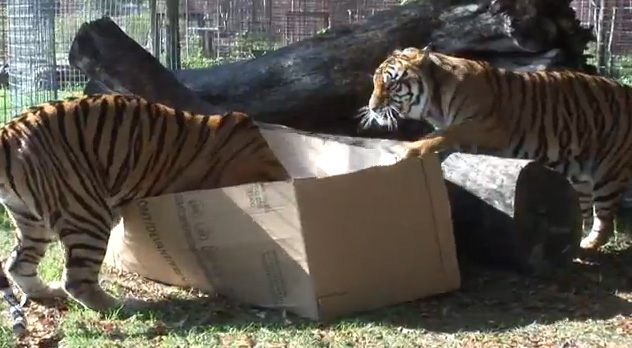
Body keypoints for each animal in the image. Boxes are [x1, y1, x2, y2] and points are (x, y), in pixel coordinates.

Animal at [0, 94, 290, 334]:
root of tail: (10, 130)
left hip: (31, 220)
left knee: (17, 263)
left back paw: (48, 290)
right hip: (87, 213)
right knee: (77, 280)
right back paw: (128, 305)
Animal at [356, 44, 632, 254]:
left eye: (391, 84)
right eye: (375, 83)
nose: (372, 107)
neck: (434, 103)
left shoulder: (485, 126)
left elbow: (444, 134)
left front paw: (410, 151)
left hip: (609, 172)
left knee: (605, 218)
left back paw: (589, 245)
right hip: (580, 176)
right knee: (583, 212)